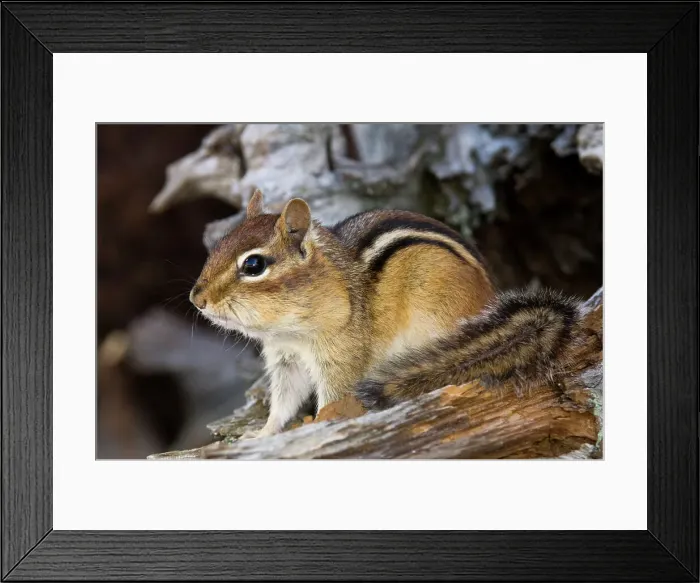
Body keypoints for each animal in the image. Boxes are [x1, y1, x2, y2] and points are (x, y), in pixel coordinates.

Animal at [190, 189, 584, 439]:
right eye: (219, 245)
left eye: (254, 265)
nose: (197, 299)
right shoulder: (286, 360)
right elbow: (283, 402)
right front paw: (262, 434)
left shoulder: (342, 353)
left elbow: (334, 396)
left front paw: (317, 423)